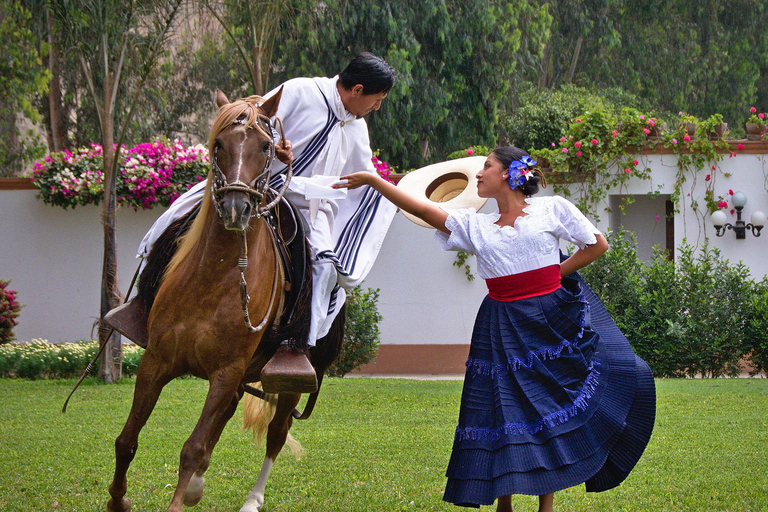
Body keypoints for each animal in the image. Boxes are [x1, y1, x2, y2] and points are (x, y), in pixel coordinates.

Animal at [105, 91, 342, 512]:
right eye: (218, 144)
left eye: (265, 146)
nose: (236, 207)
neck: (212, 279)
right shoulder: (156, 362)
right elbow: (127, 439)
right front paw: (118, 500)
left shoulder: (227, 370)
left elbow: (193, 448)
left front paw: (181, 495)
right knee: (229, 412)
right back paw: (200, 485)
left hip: (289, 382)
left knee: (275, 434)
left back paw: (252, 499)